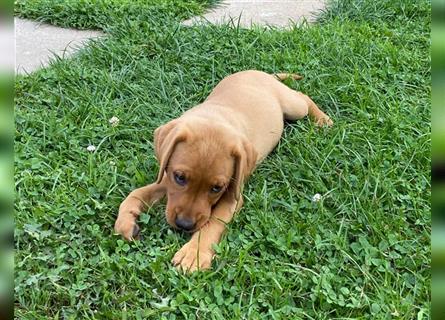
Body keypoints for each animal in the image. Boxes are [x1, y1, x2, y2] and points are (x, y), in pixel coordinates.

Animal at [112, 70, 332, 272]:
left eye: (217, 188)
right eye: (180, 177)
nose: (184, 225)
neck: (214, 118)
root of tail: (260, 72)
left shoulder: (233, 196)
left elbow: (213, 222)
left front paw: (193, 254)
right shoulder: (166, 177)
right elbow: (135, 194)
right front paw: (125, 222)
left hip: (293, 106)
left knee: (303, 97)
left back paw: (323, 119)